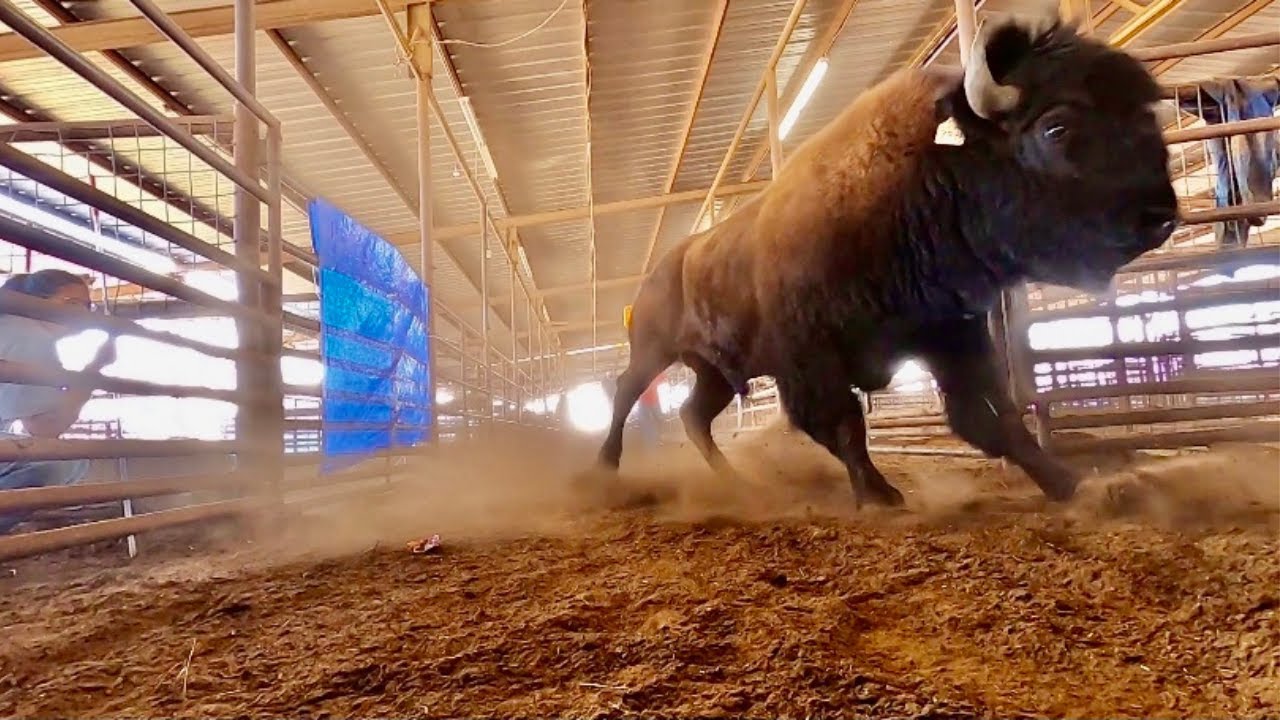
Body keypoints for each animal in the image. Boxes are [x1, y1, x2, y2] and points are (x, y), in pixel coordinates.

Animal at [584, 4, 1179, 508]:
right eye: (1057, 127)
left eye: (1145, 112)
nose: (1161, 214)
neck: (922, 172)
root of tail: (660, 271)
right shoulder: (809, 361)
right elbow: (845, 424)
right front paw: (879, 497)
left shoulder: (953, 336)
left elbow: (993, 418)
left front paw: (1069, 484)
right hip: (654, 350)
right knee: (627, 392)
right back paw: (604, 468)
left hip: (715, 372)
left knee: (693, 415)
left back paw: (737, 482)